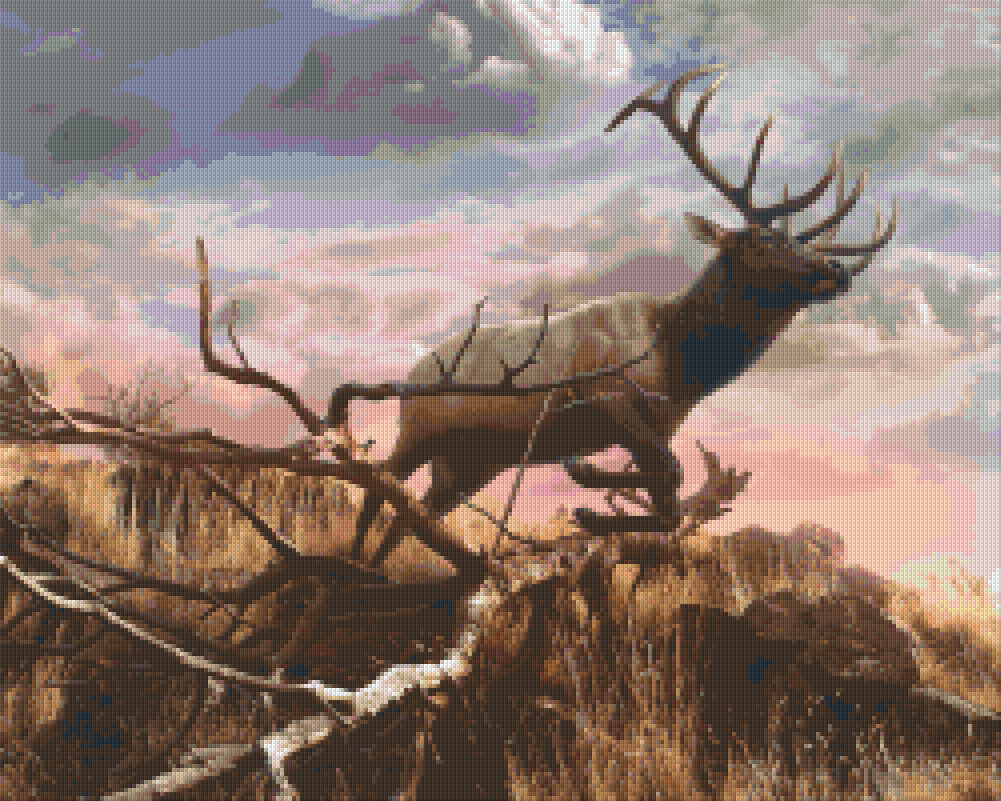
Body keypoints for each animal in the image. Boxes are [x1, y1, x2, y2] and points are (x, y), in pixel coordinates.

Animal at [349, 63, 898, 570]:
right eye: (764, 238)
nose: (837, 270)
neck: (680, 366)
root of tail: (413, 371)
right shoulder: (606, 394)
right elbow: (671, 479)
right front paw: (591, 494)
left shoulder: (658, 427)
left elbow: (670, 505)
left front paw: (595, 509)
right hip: (420, 427)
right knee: (377, 486)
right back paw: (354, 562)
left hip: (472, 461)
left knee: (412, 515)